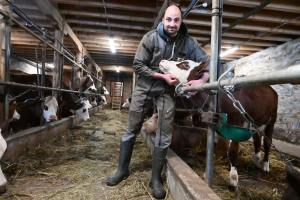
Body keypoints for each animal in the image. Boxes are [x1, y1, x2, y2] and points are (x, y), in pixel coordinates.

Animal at [159, 59, 278, 189]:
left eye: (186, 65)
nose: (162, 60)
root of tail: (270, 88)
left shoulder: (236, 124)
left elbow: (232, 152)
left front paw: (233, 180)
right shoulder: (214, 126)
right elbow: (211, 147)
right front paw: (207, 174)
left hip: (271, 121)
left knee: (267, 143)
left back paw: (265, 166)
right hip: (256, 122)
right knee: (257, 139)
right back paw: (256, 159)